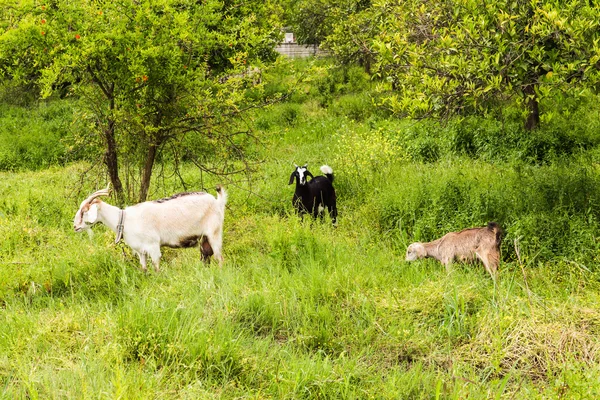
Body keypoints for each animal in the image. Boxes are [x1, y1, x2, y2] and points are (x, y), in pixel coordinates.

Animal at [73, 186, 227, 274]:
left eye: (84, 211)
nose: (75, 227)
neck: (124, 220)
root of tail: (217, 201)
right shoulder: (141, 251)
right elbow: (144, 269)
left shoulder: (153, 247)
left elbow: (156, 268)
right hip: (204, 240)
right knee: (206, 257)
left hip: (214, 233)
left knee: (219, 258)